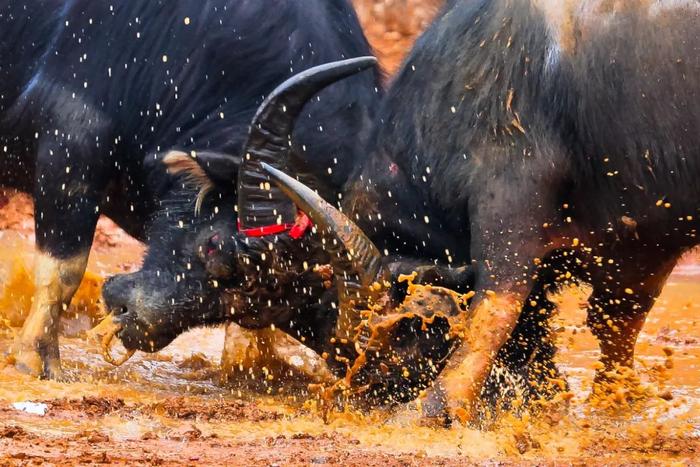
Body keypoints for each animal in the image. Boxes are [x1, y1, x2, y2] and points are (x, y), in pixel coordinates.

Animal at [1, 0, 382, 380]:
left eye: (259, 306)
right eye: (213, 244)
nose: (136, 323)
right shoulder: (71, 146)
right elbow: (64, 270)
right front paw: (34, 358)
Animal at [131, 0, 696, 422]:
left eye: (227, 259)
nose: (123, 302)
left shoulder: (509, 197)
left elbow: (494, 306)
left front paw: (428, 411)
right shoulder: (639, 247)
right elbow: (612, 331)